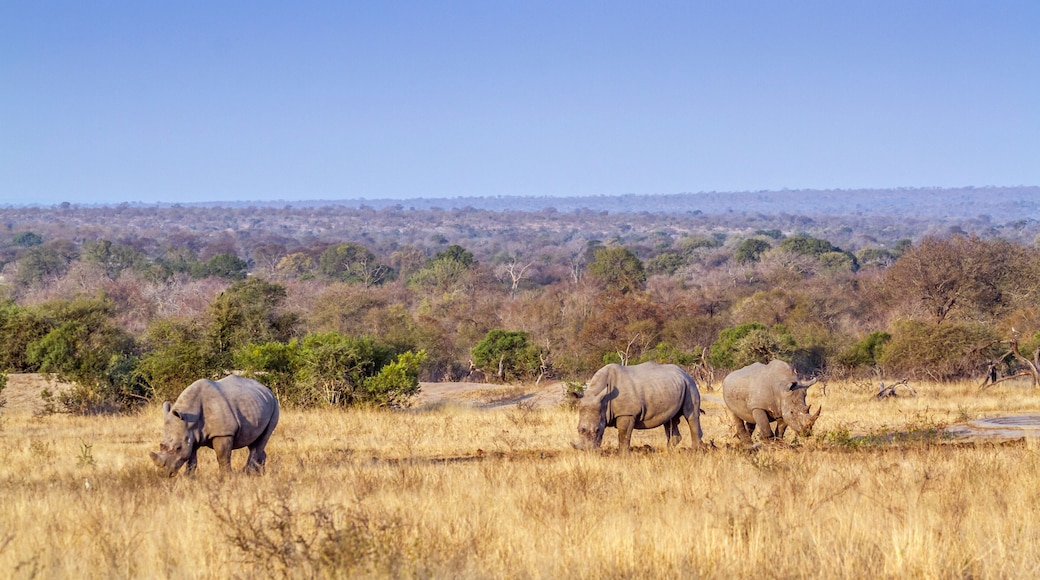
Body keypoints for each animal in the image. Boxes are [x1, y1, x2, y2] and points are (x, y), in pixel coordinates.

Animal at [149, 375, 279, 477]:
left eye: (178, 448)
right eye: (161, 445)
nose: (163, 474)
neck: (189, 417)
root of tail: (267, 390)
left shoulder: (223, 433)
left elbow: (223, 456)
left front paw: (227, 478)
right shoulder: (191, 435)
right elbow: (191, 460)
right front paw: (188, 478)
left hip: (274, 405)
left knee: (262, 439)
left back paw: (248, 473)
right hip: (258, 404)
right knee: (254, 441)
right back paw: (259, 474)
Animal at [572, 362, 702, 452]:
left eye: (598, 430)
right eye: (578, 429)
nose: (587, 451)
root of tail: (684, 372)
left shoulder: (627, 413)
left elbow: (624, 435)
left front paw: (623, 455)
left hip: (690, 384)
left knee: (691, 415)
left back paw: (695, 452)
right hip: (675, 386)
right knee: (670, 420)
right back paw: (669, 451)